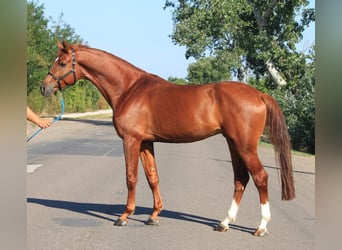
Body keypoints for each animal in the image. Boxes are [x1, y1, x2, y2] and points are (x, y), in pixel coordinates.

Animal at [41, 41, 296, 236]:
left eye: (62, 63)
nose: (44, 87)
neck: (129, 89)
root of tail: (259, 94)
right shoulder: (146, 142)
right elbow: (152, 177)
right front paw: (154, 215)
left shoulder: (131, 140)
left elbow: (131, 177)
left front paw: (124, 215)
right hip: (233, 144)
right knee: (241, 179)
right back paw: (224, 223)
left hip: (245, 146)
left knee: (260, 177)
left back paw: (261, 227)